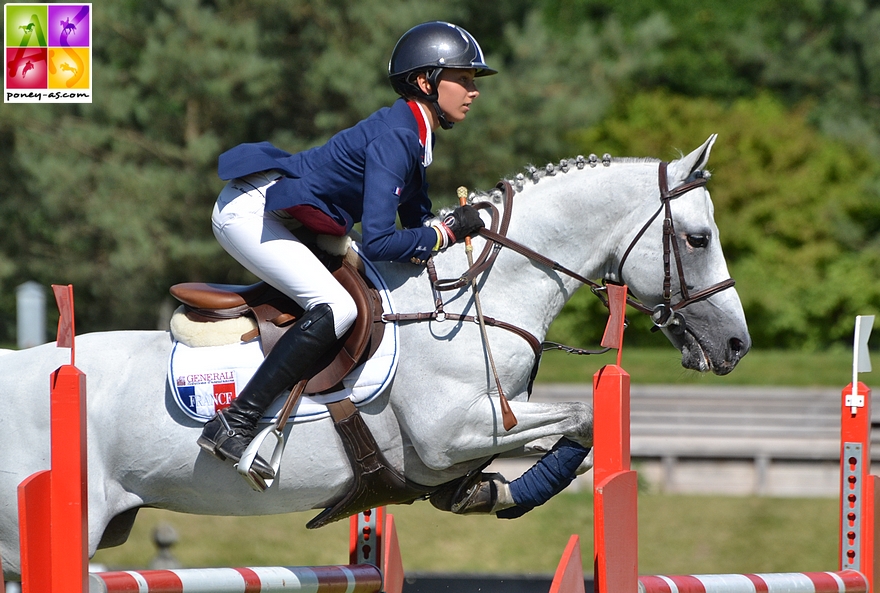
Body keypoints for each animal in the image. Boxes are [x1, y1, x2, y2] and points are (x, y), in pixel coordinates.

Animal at [0, 134, 748, 580]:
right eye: (699, 237)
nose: (737, 344)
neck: (471, 297)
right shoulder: (457, 431)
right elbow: (582, 420)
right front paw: (512, 491)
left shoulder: (485, 425)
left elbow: (574, 433)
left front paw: (490, 491)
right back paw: (230, 434)